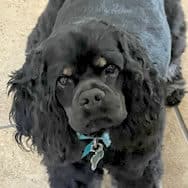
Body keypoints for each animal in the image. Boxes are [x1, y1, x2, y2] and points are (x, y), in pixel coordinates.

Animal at [8, 0, 186, 188]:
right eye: (63, 80)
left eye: (111, 68)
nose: (92, 97)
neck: (98, 139)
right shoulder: (69, 169)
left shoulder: (138, 167)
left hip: (176, 31)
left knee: (175, 58)